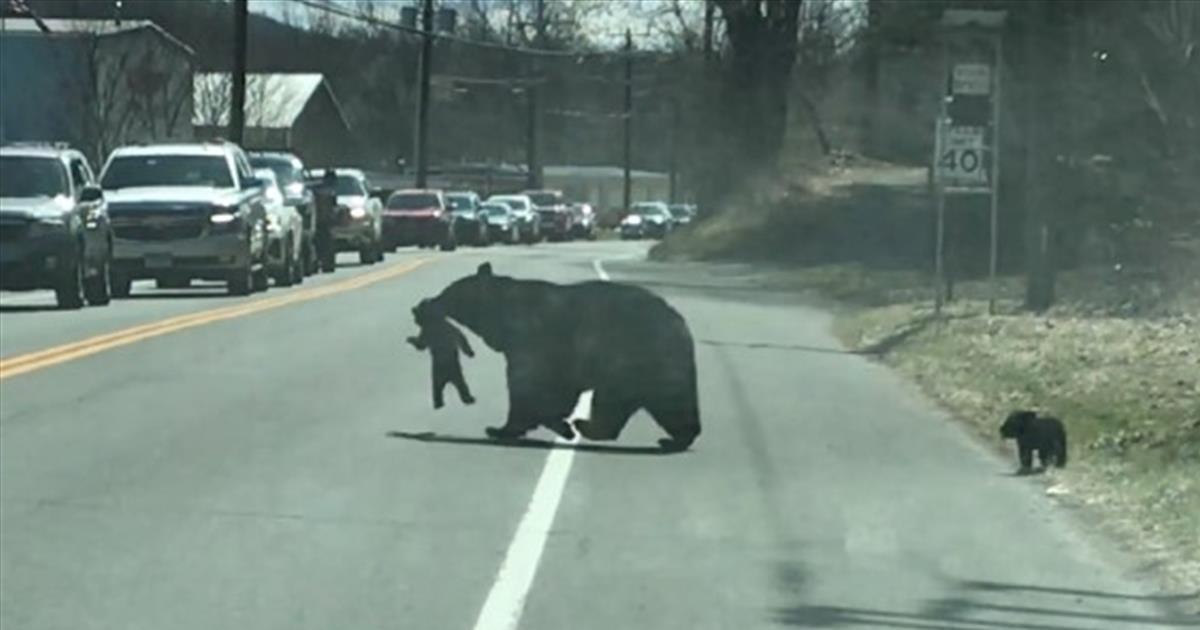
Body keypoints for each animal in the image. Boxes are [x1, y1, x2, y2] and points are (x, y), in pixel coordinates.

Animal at [423, 262, 701, 451]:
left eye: (448, 292)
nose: (427, 302)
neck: (502, 315)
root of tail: (682, 324)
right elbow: (554, 391)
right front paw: (554, 423)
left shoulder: (532, 339)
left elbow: (530, 385)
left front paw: (501, 428)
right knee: (665, 404)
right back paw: (673, 439)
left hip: (634, 357)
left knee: (630, 401)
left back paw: (586, 425)